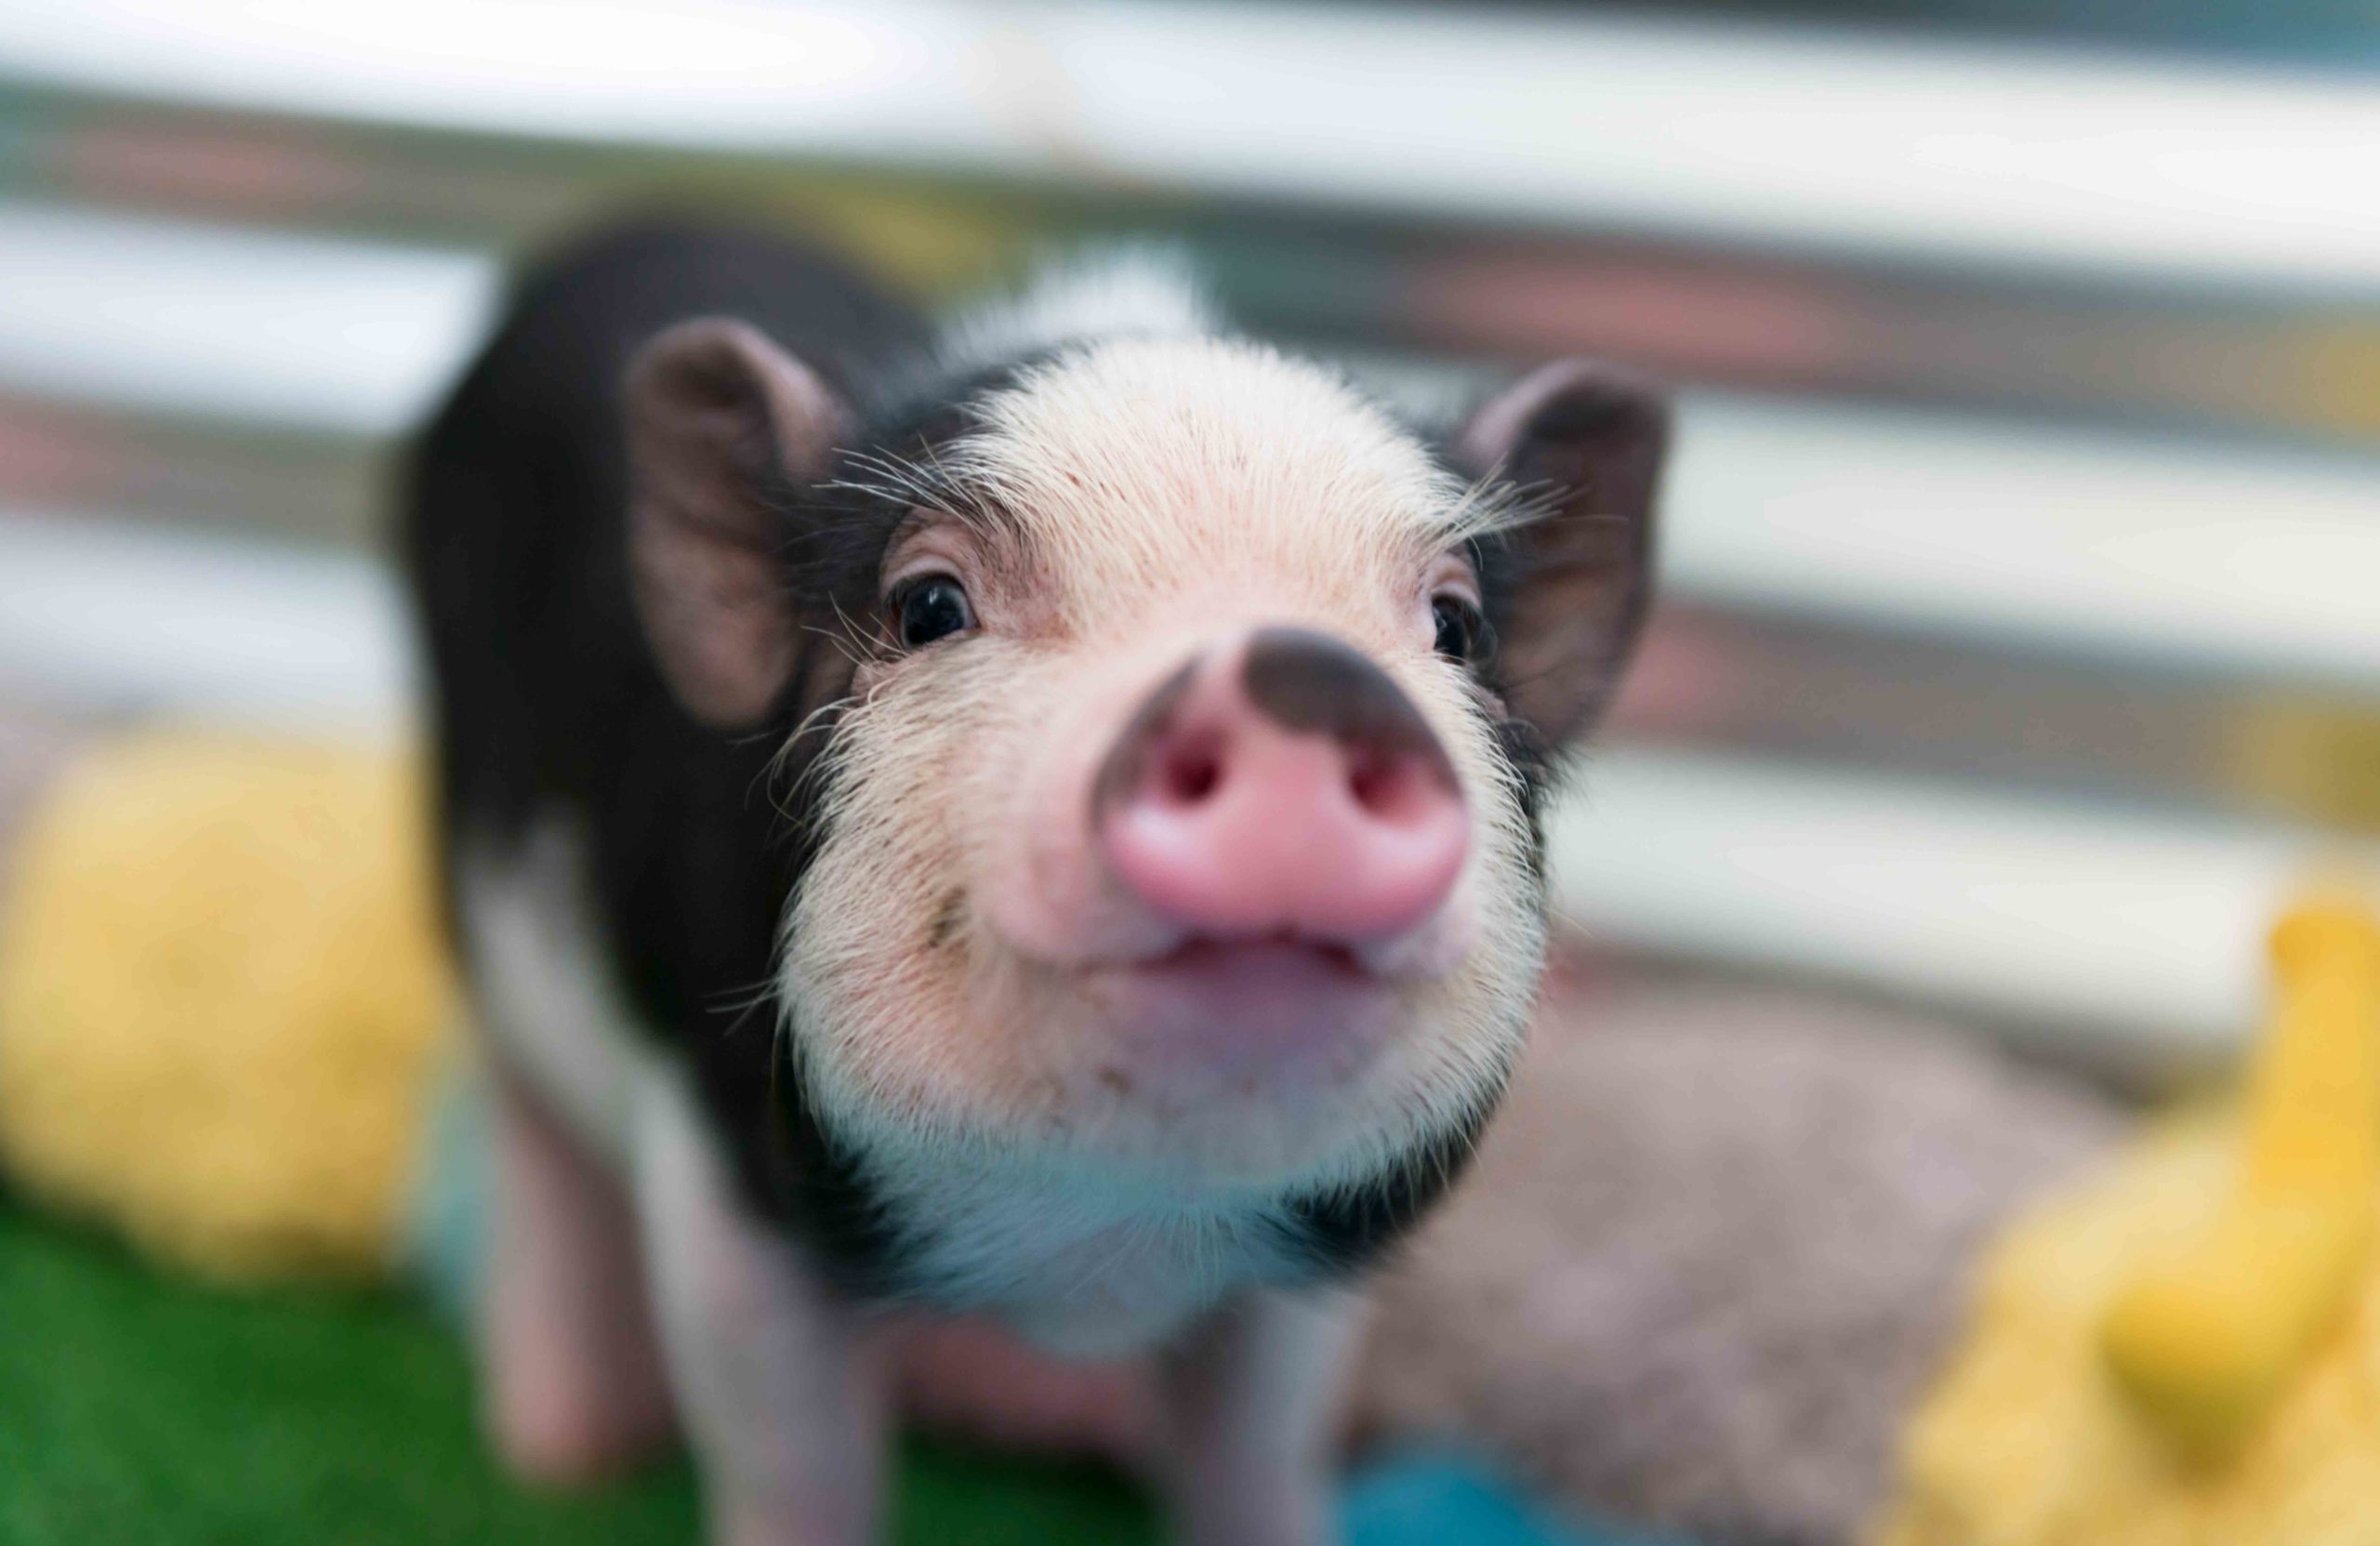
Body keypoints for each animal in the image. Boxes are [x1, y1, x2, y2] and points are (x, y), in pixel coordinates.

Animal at [400, 222, 1667, 1546]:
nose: (1301, 678)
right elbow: (793, 1460)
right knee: (533, 1137)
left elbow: (1258, 1454)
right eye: (928, 604)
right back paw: (569, 1454)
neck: (1092, 1242)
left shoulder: (1306, 1262)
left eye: (1455, 627)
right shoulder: (725, 1176)